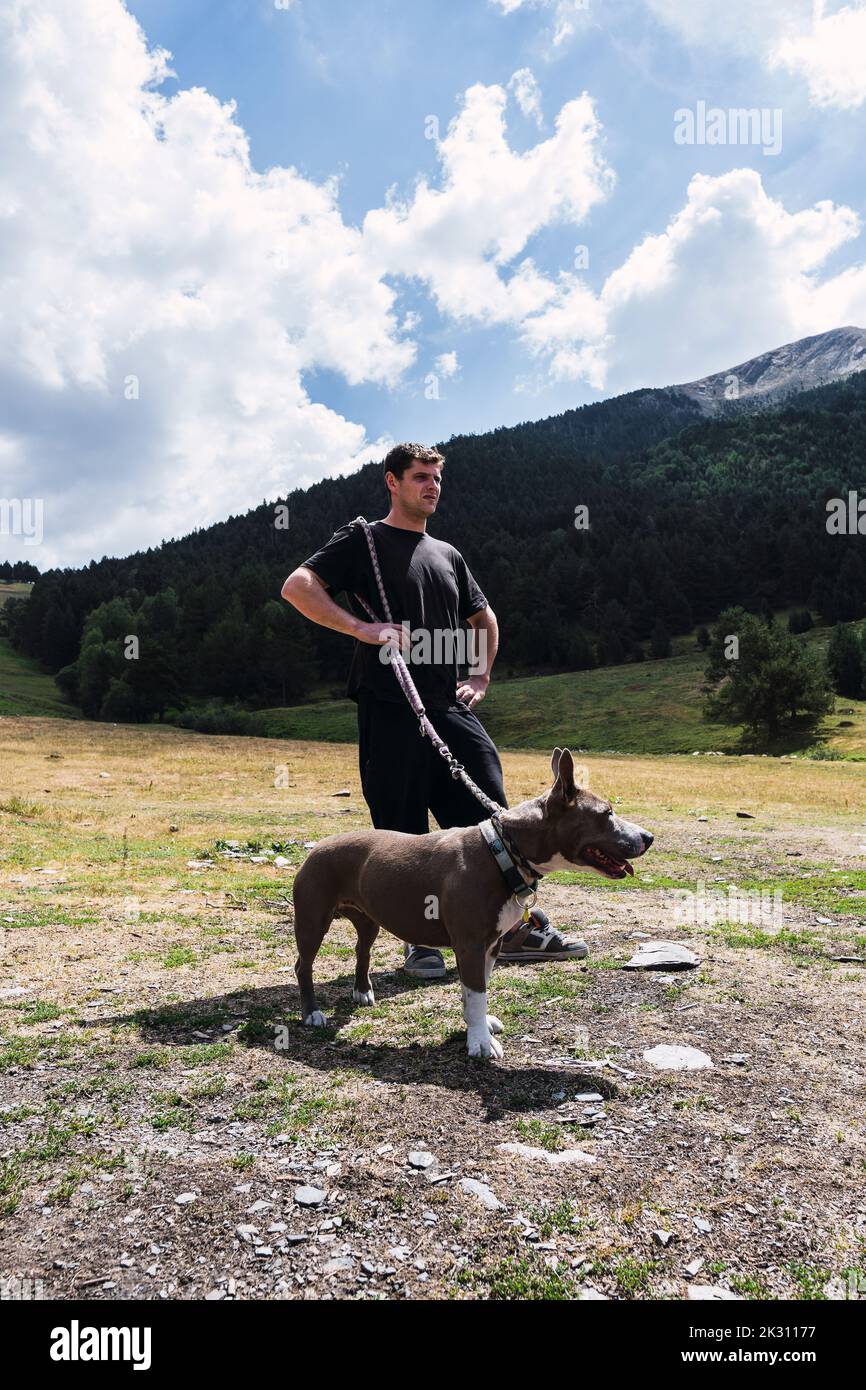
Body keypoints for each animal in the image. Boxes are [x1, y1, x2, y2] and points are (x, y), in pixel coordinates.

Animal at [293, 756, 656, 1056]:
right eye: (606, 814)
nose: (649, 837)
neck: (505, 853)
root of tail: (318, 847)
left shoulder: (490, 944)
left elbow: (475, 992)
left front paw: (475, 1026)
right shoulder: (469, 944)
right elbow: (478, 991)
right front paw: (480, 1042)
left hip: (368, 919)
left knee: (362, 951)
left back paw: (362, 992)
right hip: (313, 920)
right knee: (303, 965)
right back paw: (312, 1013)